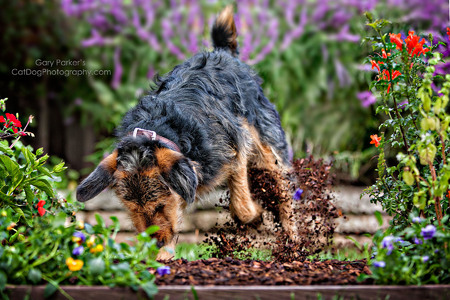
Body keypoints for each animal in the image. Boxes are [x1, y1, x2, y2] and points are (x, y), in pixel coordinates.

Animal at [76, 5, 296, 258]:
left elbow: (242, 206)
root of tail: (222, 53)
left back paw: (293, 241)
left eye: (160, 205)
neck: (156, 130)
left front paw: (257, 214)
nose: (155, 243)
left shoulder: (236, 149)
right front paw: (159, 259)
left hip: (266, 145)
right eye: (131, 208)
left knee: (284, 188)